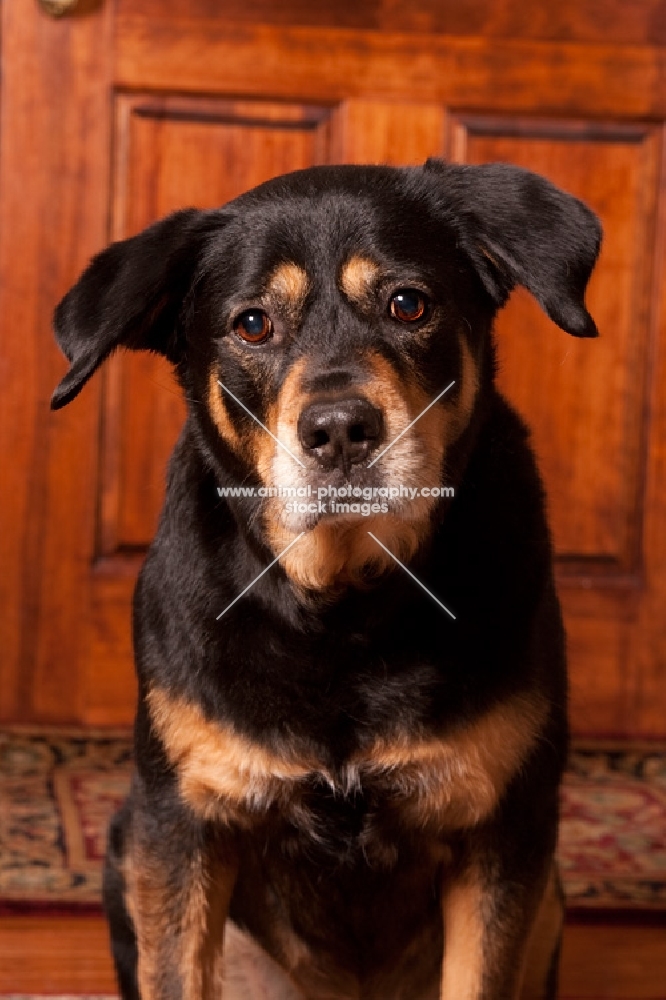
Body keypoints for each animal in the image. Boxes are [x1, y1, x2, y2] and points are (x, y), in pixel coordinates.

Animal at [52, 162, 600, 1000]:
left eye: (409, 303)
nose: (340, 427)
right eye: (252, 324)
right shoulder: (182, 825)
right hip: (126, 848)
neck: (343, 610)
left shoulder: (503, 826)